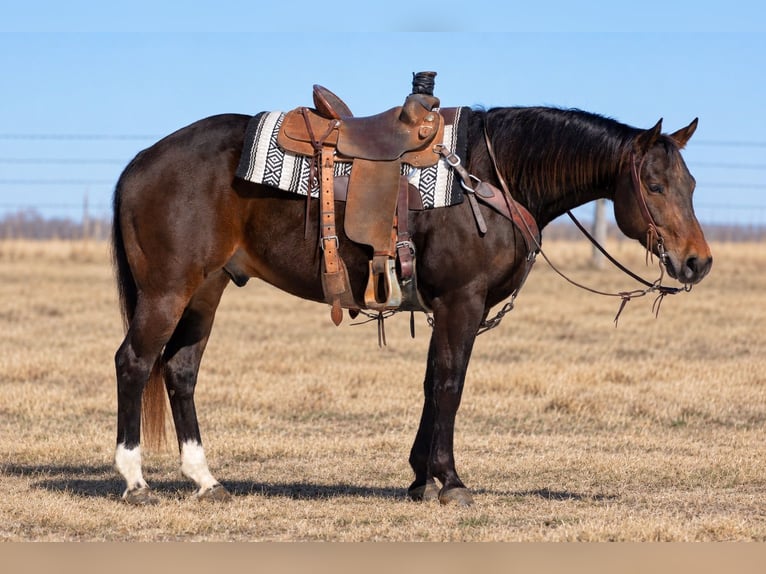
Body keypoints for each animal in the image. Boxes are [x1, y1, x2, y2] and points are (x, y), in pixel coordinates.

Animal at [111, 104, 712, 506]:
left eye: (690, 184)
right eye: (654, 186)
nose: (697, 262)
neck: (486, 178)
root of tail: (141, 160)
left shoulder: (444, 307)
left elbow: (431, 384)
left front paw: (421, 477)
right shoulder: (461, 302)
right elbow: (450, 384)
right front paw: (450, 481)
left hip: (206, 291)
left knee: (180, 371)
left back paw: (205, 479)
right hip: (168, 291)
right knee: (134, 363)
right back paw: (135, 479)